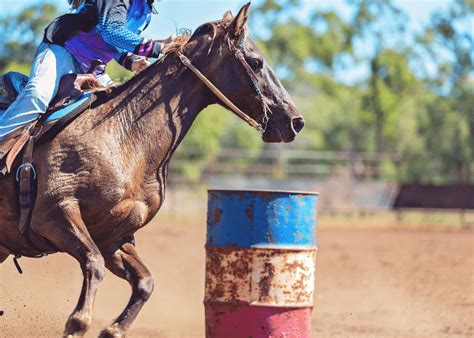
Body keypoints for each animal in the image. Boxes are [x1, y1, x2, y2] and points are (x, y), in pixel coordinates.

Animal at [0, 3, 304, 336]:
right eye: (256, 61)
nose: (295, 121)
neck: (123, 136)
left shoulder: (114, 237)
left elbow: (145, 282)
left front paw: (113, 329)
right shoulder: (54, 215)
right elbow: (93, 265)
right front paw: (78, 323)